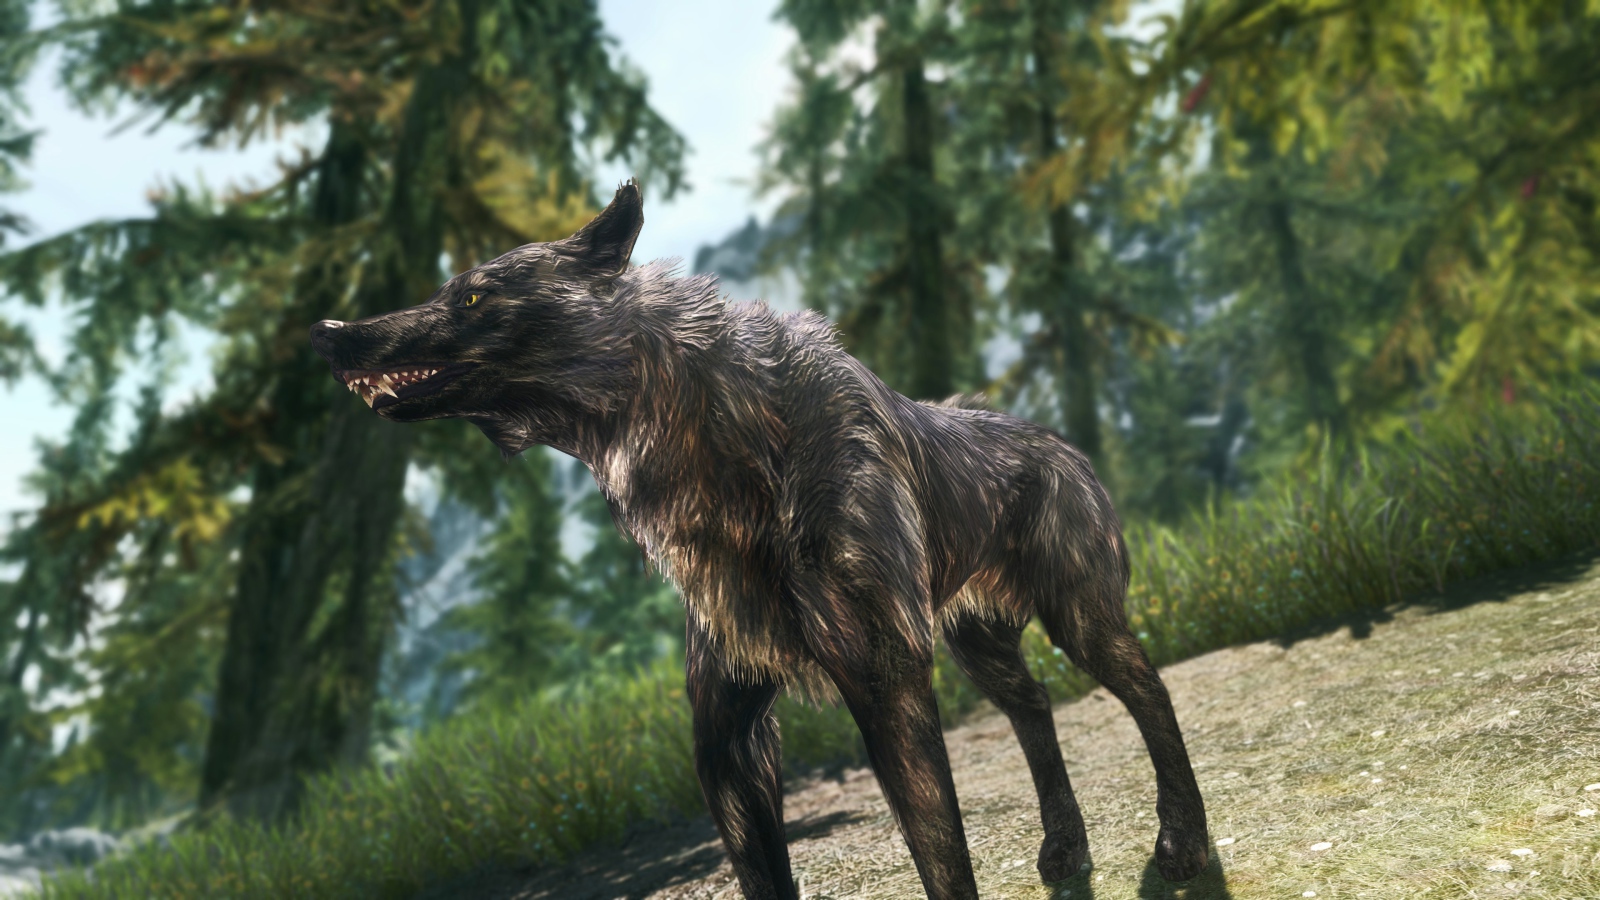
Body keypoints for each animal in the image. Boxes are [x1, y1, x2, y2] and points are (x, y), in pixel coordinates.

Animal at [309, 182, 1210, 899]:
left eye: (469, 297)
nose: (326, 329)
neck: (724, 445)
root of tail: (1063, 446)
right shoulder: (729, 738)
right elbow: (766, 876)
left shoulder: (886, 684)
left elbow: (943, 858)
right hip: (980, 648)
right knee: (1035, 707)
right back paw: (1064, 848)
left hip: (1080, 624)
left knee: (1151, 693)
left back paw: (1183, 843)